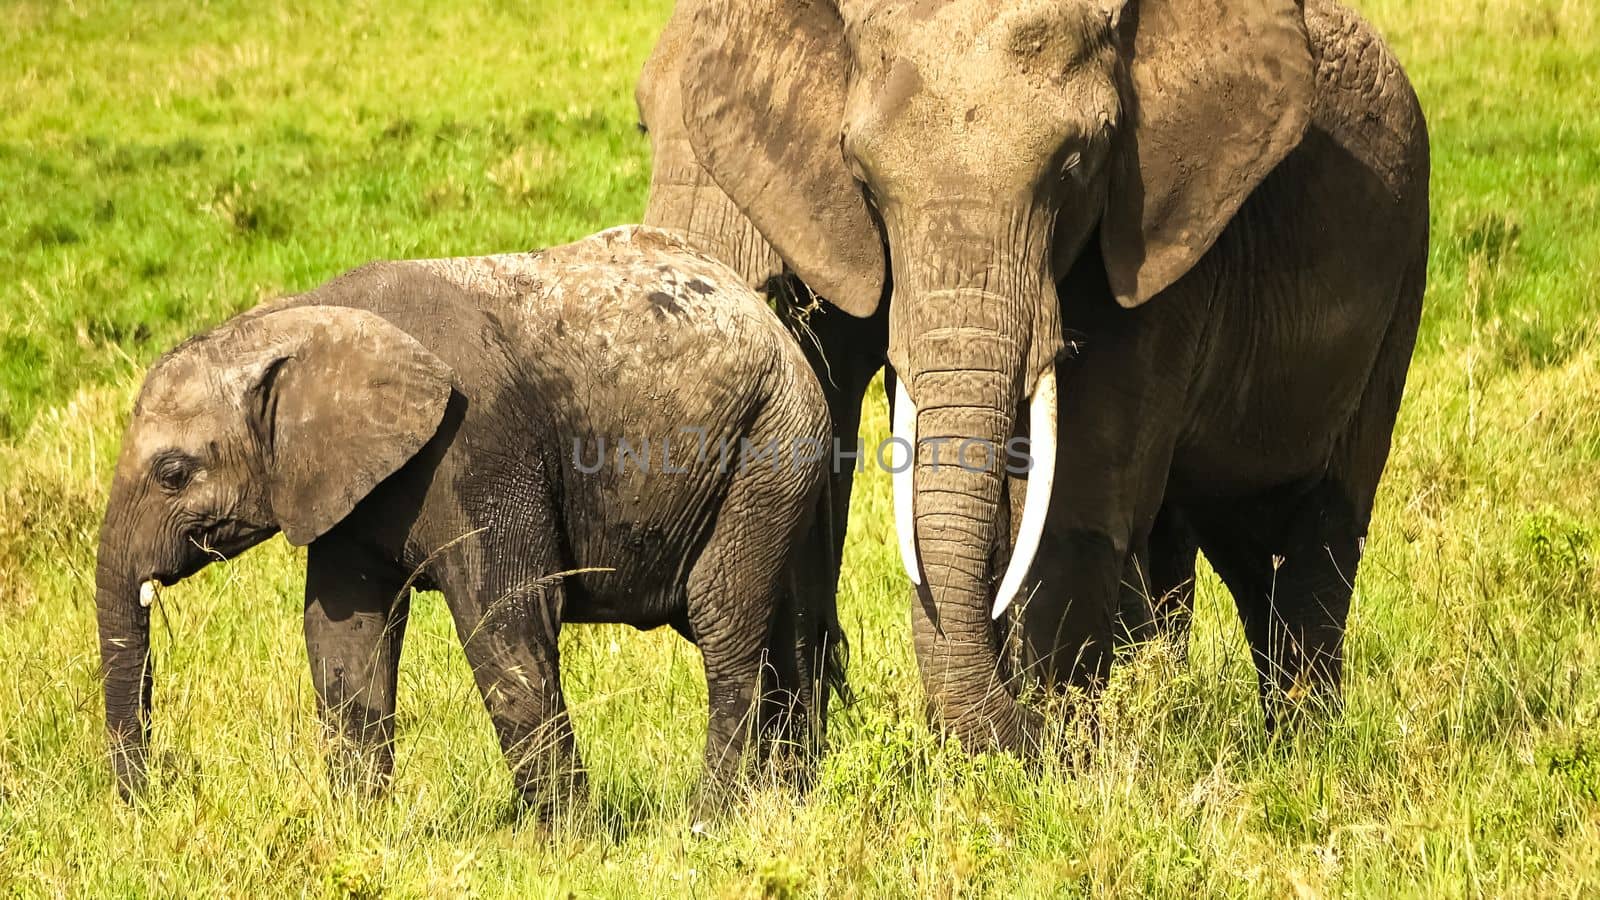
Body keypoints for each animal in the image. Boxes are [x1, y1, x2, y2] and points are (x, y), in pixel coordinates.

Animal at [96, 225, 851, 813]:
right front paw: (360, 828)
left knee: (725, 623)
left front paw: (565, 842)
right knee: (784, 628)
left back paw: (710, 819)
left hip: (768, 441)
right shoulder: (348, 486)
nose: (155, 795)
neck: (298, 319)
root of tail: (767, 317)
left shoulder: (475, 446)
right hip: (777, 452)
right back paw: (788, 801)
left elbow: (506, 619)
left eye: (173, 473)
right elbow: (344, 635)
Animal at [636, 0, 1427, 746]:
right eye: (862, 178)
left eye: (1074, 166)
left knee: (1314, 528)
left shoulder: (1151, 246)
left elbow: (1069, 512)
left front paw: (1052, 763)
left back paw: (1300, 746)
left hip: (1404, 266)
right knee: (1227, 535)